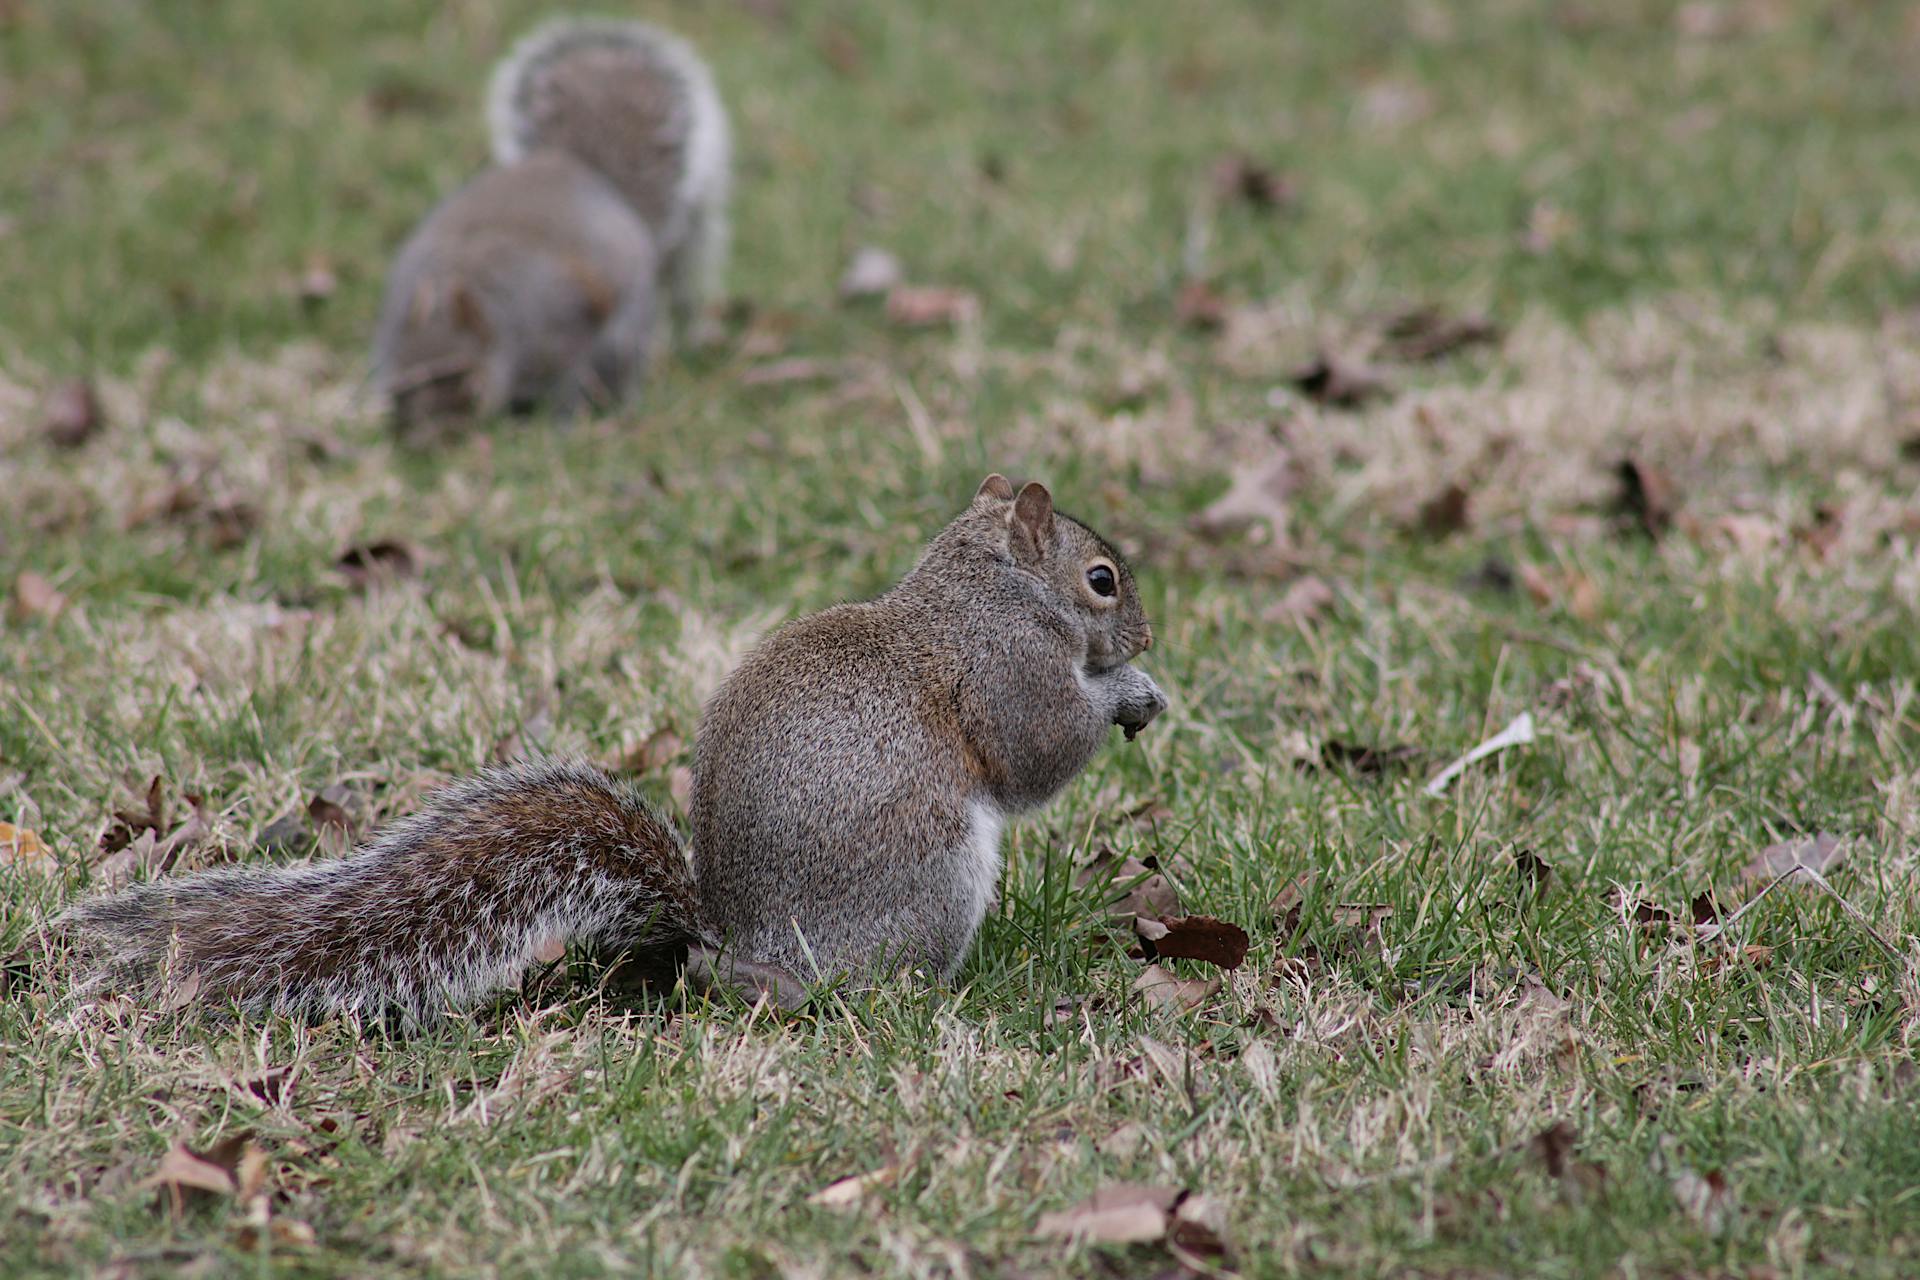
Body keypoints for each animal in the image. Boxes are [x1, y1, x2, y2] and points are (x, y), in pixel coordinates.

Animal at [60, 475, 1167, 1028]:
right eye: (1102, 578)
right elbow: (1038, 751)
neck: (985, 586)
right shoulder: (1005, 669)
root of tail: (734, 945)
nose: (1149, 633)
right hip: (936, 874)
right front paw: (1127, 693)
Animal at [370, 17, 729, 433]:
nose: (425, 438)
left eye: (462, 376)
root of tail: (584, 173)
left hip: (624, 331)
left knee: (621, 368)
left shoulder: (565, 323)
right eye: (400, 385)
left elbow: (569, 384)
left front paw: (561, 422)